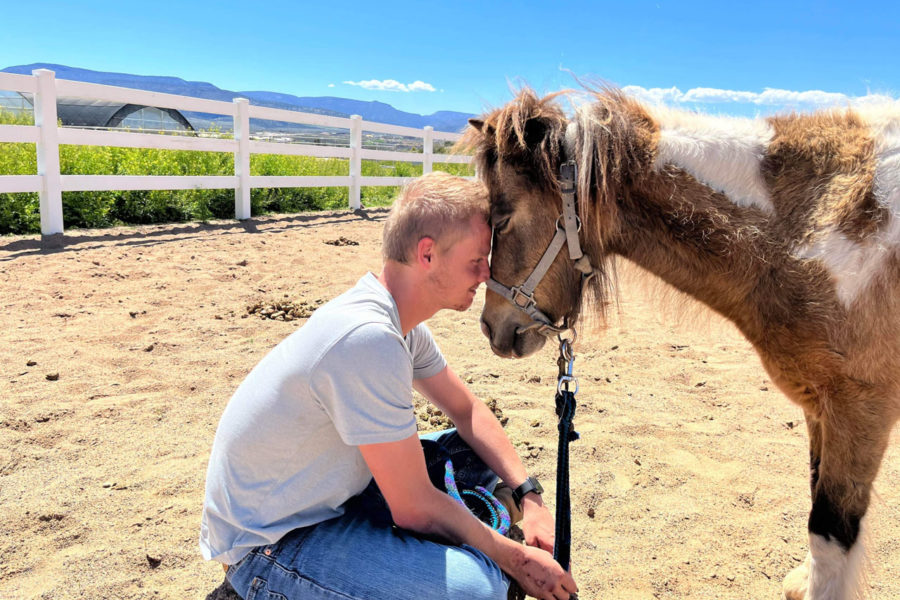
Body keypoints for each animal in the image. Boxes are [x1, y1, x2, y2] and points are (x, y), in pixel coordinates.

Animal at [464, 89, 900, 600]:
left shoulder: (859, 410)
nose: (491, 327)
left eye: (501, 218)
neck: (816, 226)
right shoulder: (819, 407)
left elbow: (830, 530)